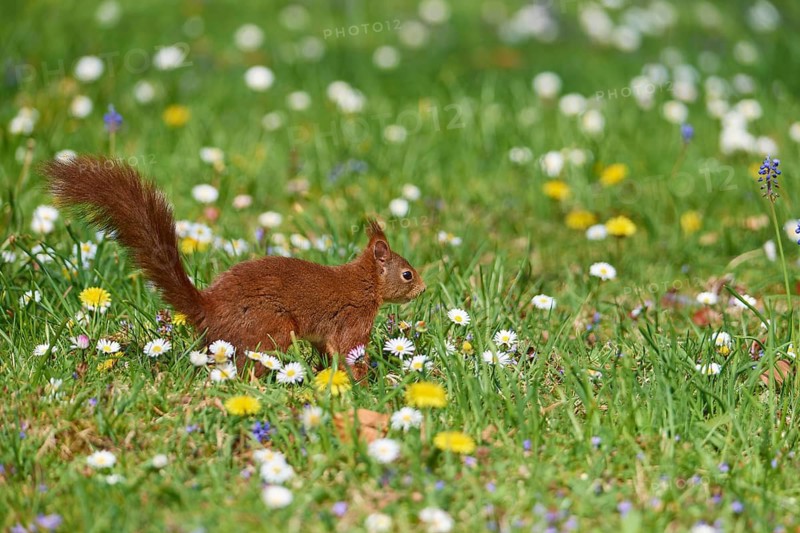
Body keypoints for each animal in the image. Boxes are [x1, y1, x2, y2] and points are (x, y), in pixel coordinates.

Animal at [42, 156, 426, 379]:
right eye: (407, 274)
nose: (423, 288)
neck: (366, 282)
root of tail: (208, 308)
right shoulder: (353, 319)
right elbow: (348, 353)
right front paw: (365, 383)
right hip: (270, 328)